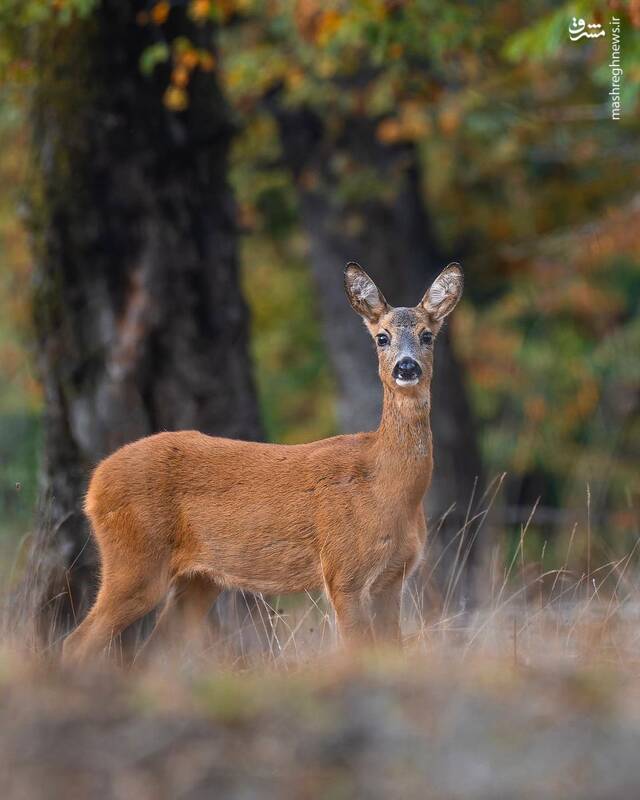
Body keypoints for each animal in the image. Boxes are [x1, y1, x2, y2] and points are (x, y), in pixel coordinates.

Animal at [63, 262, 464, 664]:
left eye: (427, 336)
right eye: (382, 337)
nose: (406, 367)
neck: (385, 488)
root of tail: (94, 484)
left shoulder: (393, 578)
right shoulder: (342, 571)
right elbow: (356, 649)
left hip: (198, 579)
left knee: (150, 652)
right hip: (135, 560)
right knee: (77, 642)